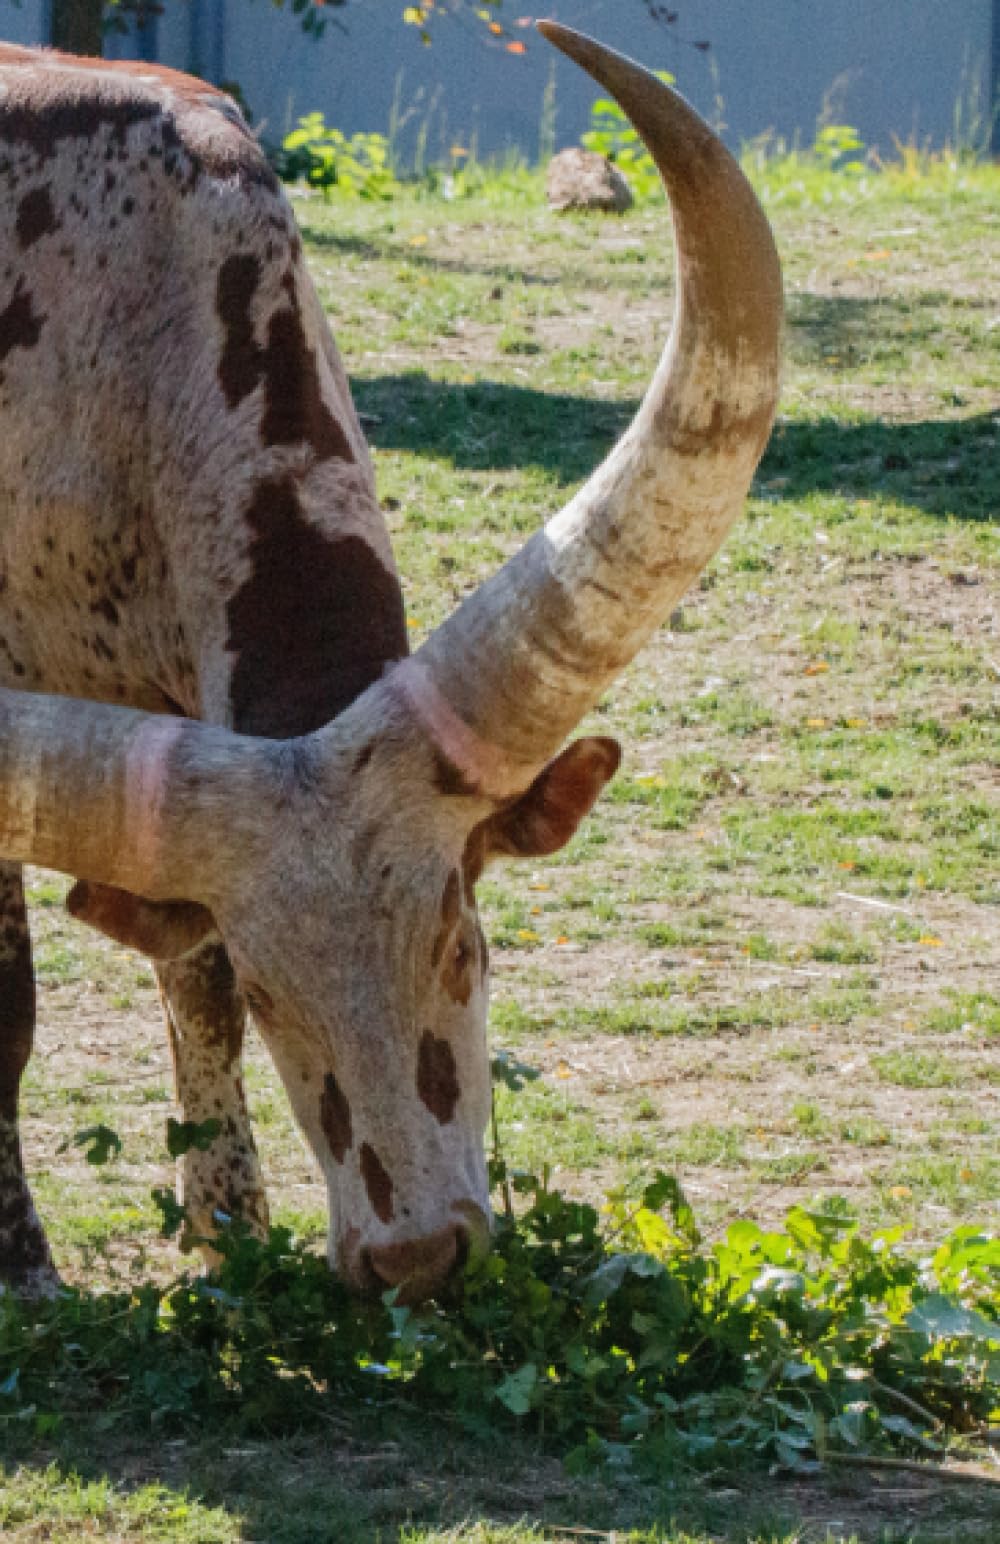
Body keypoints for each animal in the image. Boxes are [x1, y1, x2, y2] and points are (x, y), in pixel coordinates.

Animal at [0, 23, 782, 1301]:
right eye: (277, 986)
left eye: (461, 943)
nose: (413, 1251)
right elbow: (19, 1006)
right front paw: (26, 1269)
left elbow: (188, 980)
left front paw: (228, 1230)